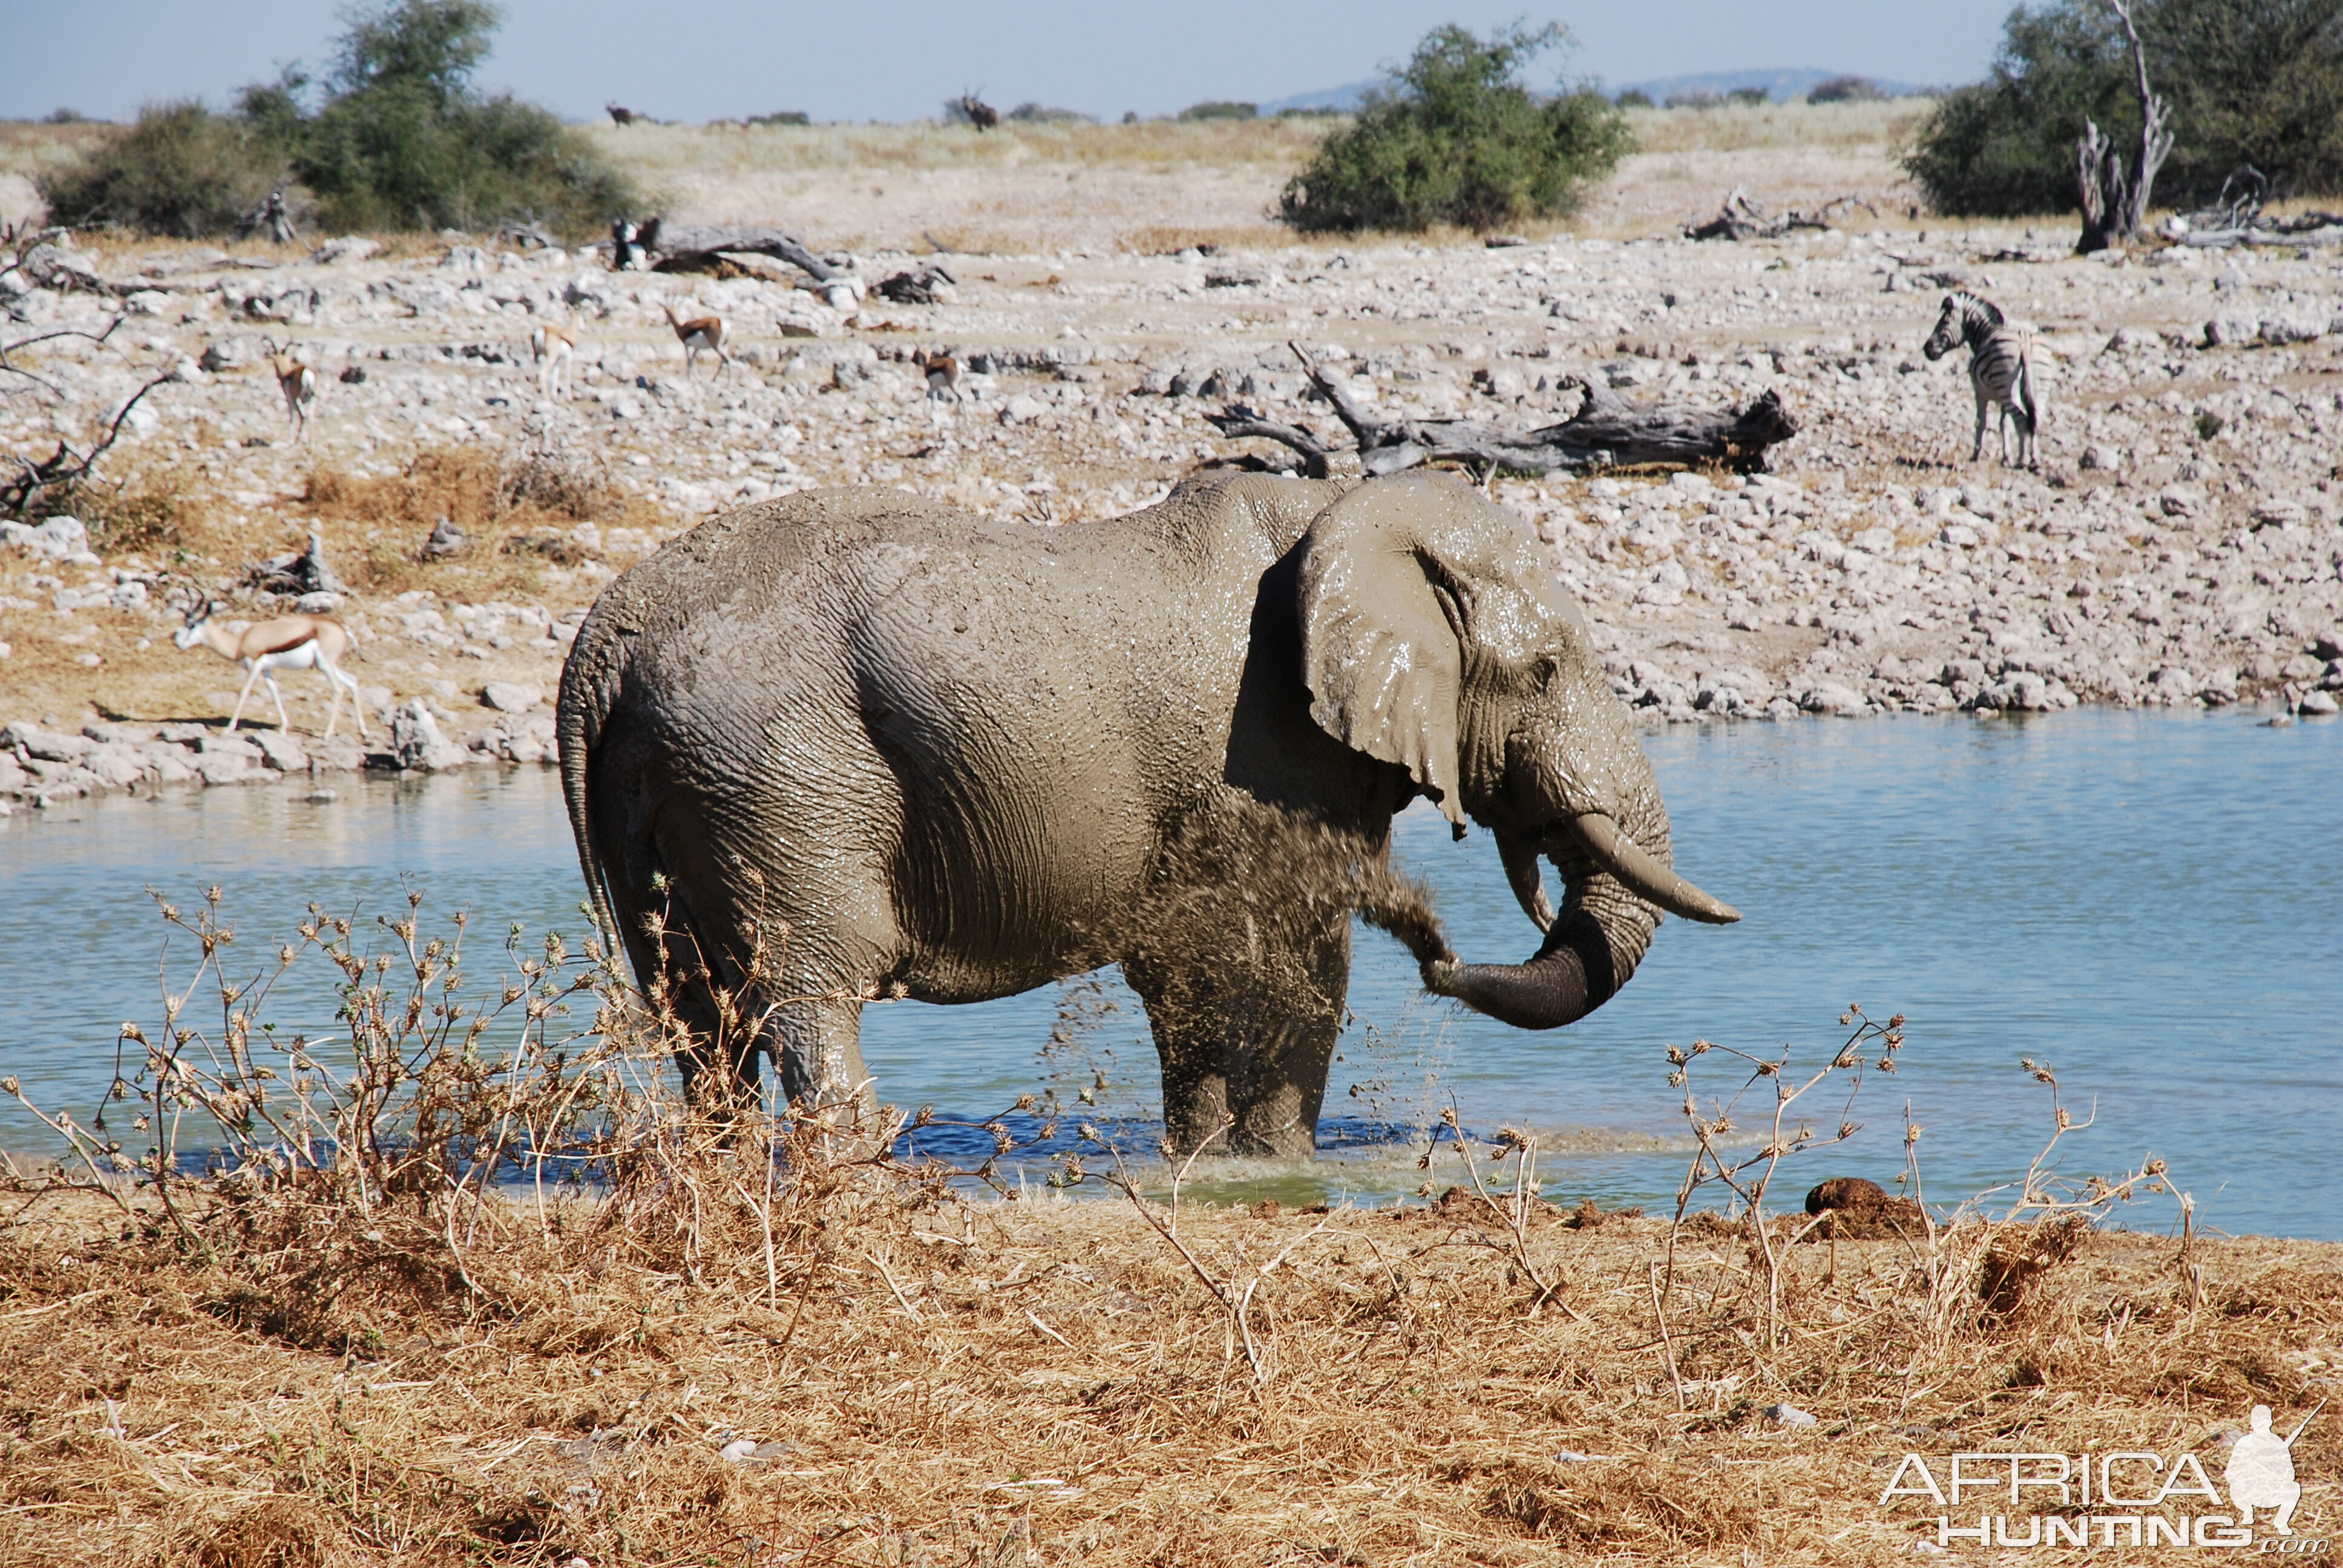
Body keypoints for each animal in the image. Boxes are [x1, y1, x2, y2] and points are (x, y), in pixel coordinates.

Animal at [173, 604, 367, 745]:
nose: (178, 642)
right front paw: (283, 728)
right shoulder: (266, 669)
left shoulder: (255, 666)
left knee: (339, 689)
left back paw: (327, 734)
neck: (239, 643)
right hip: (326, 666)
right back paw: (363, 732)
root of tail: (341, 628)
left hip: (325, 666)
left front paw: (227, 730)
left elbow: (244, 693)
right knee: (353, 681)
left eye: (192, 625)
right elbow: (274, 691)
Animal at [531, 321, 576, 398]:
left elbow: (556, 374)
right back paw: (546, 397)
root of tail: (543, 331)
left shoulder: (557, 360)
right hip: (550, 359)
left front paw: (554, 396)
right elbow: (568, 373)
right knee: (542, 374)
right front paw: (569, 397)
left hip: (539, 357)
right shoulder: (568, 356)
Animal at [562, 471, 1743, 1157]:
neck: (1351, 511)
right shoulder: (1268, 763)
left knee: (693, 1012)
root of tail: (604, 641)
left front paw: (1211, 1164)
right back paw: (858, 1167)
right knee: (809, 986)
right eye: (1544, 671)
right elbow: (1294, 964)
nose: (1441, 954)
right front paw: (1275, 1165)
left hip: (677, 787)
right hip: (779, 779)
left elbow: (1194, 979)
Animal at [660, 302, 731, 382]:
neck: (682, 328)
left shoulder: (686, 345)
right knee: (723, 361)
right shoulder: (697, 348)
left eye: (666, 311)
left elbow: (689, 361)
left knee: (726, 360)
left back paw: (727, 382)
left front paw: (689, 380)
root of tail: (720, 323)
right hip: (724, 345)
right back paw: (714, 379)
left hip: (716, 347)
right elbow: (692, 361)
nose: (666, 323)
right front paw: (698, 379)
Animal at [1930, 290, 2043, 468]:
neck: (1986, 334)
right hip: (2037, 386)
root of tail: (2024, 344)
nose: (1926, 349)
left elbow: (1981, 421)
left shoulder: (1980, 392)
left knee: (2021, 420)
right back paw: (2035, 461)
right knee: (2034, 420)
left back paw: (2023, 460)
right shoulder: (2002, 397)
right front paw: (2006, 457)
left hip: (2009, 389)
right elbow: (2004, 424)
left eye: (1945, 322)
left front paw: (1975, 454)